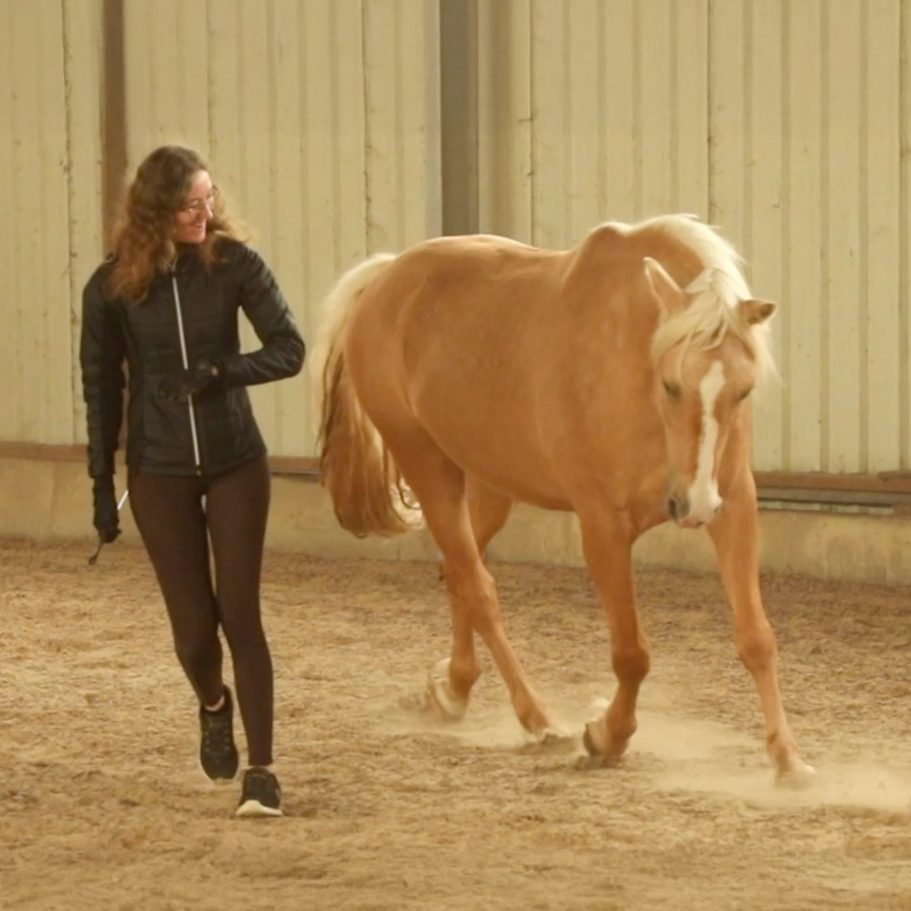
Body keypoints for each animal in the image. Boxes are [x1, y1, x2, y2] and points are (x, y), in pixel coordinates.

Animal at [312, 213, 814, 784]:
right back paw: (537, 718)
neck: (630, 361)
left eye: (743, 391)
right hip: (427, 466)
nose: (693, 507)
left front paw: (788, 759)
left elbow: (756, 637)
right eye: (670, 384)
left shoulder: (734, 507)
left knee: (460, 572)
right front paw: (606, 737)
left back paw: (456, 689)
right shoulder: (602, 526)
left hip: (489, 483)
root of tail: (384, 278)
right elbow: (631, 654)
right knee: (477, 587)